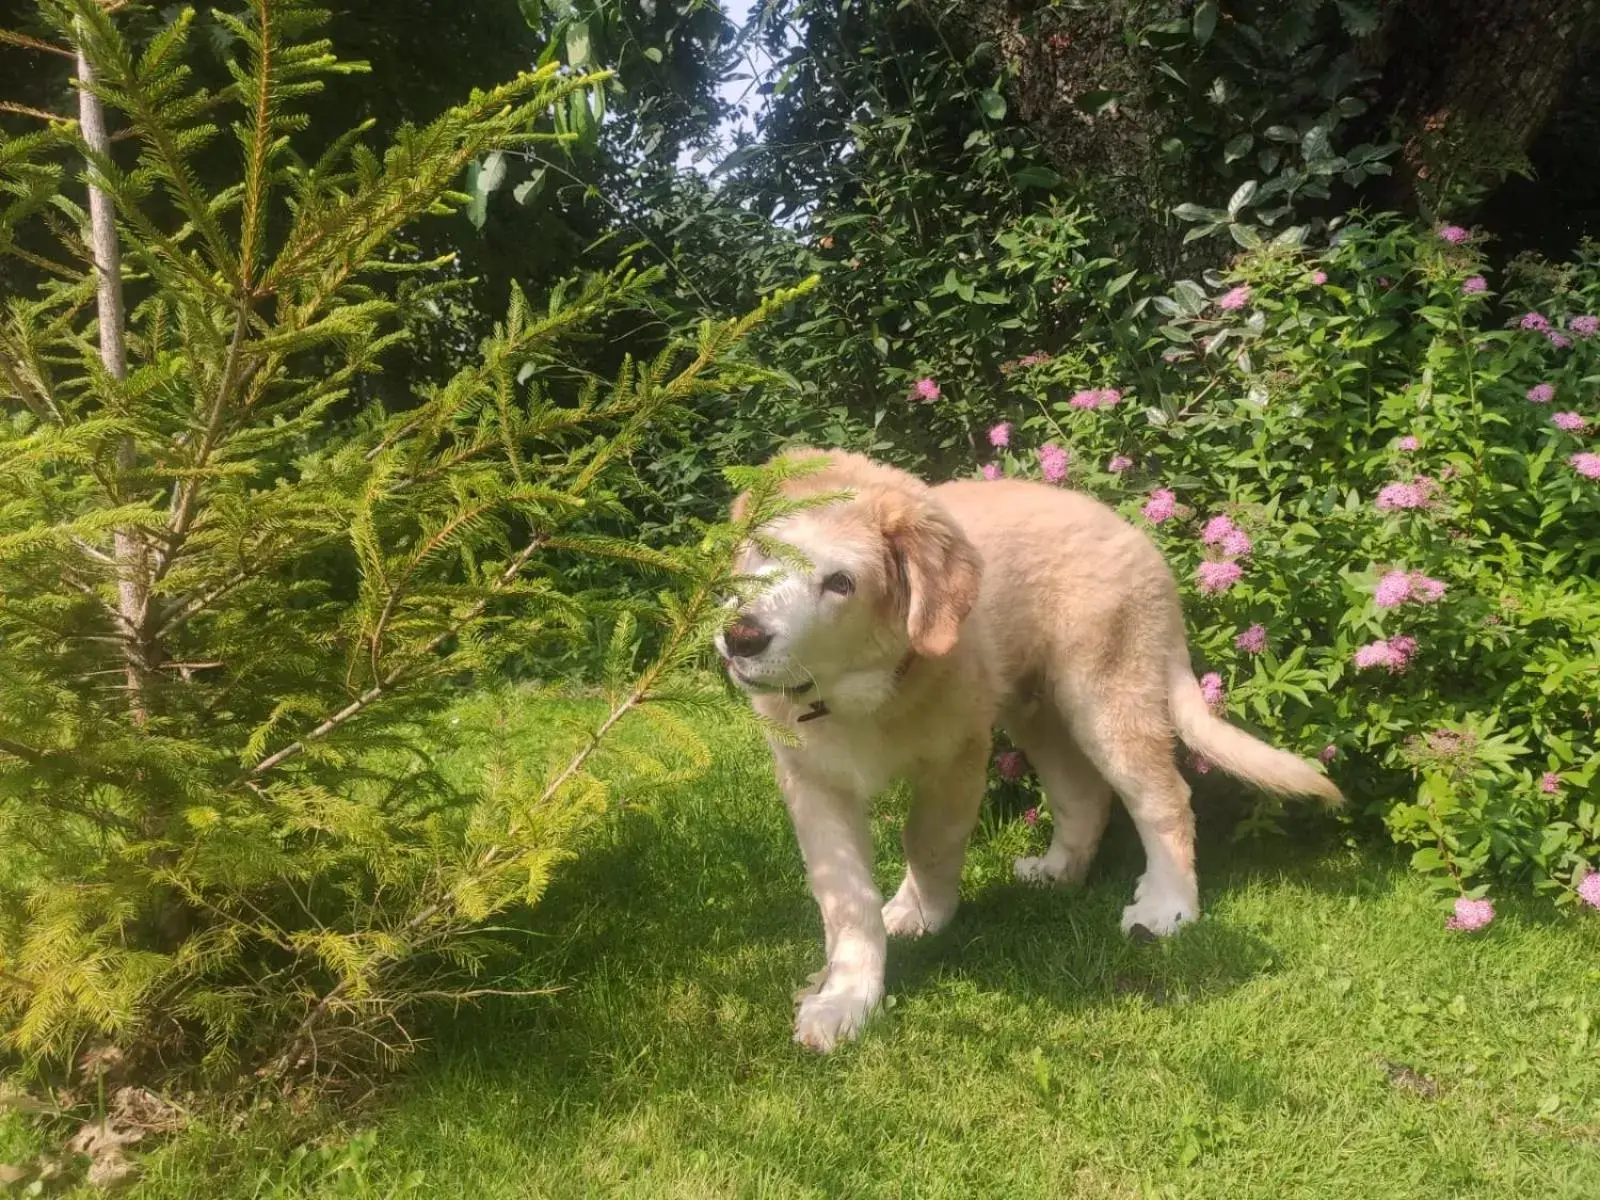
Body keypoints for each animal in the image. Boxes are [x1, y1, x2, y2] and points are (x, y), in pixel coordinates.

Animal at [716, 448, 1337, 1049]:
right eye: (764, 550)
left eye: (840, 583)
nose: (740, 637)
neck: (858, 692)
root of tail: (1136, 538)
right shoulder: (813, 780)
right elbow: (846, 897)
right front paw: (846, 999)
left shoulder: (958, 756)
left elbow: (928, 843)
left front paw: (926, 913)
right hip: (1039, 712)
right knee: (1082, 796)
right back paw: (1058, 872)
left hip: (1108, 696)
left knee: (1163, 800)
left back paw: (1168, 905)